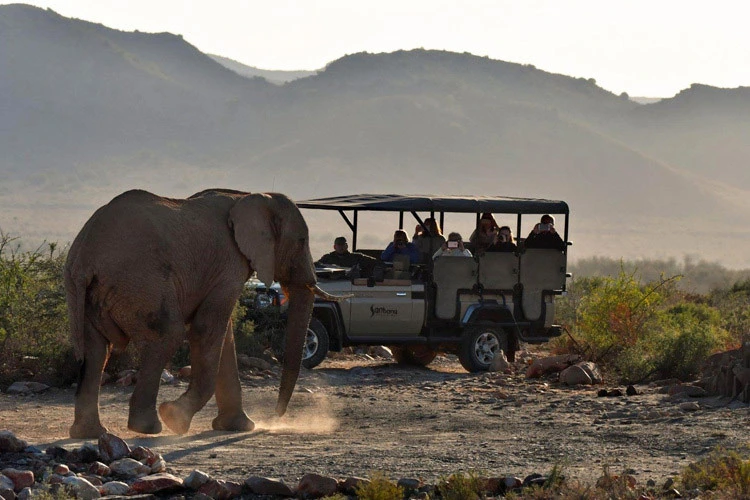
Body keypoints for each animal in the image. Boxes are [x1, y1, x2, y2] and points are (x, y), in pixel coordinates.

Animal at [64, 188, 336, 438]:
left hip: (89, 293)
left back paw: (90, 433)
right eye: (301, 241)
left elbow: (225, 337)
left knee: (96, 350)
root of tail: (85, 254)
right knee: (167, 335)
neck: (251, 196)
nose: (275, 417)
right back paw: (148, 427)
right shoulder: (229, 263)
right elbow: (207, 329)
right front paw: (175, 418)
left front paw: (238, 427)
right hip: (138, 282)